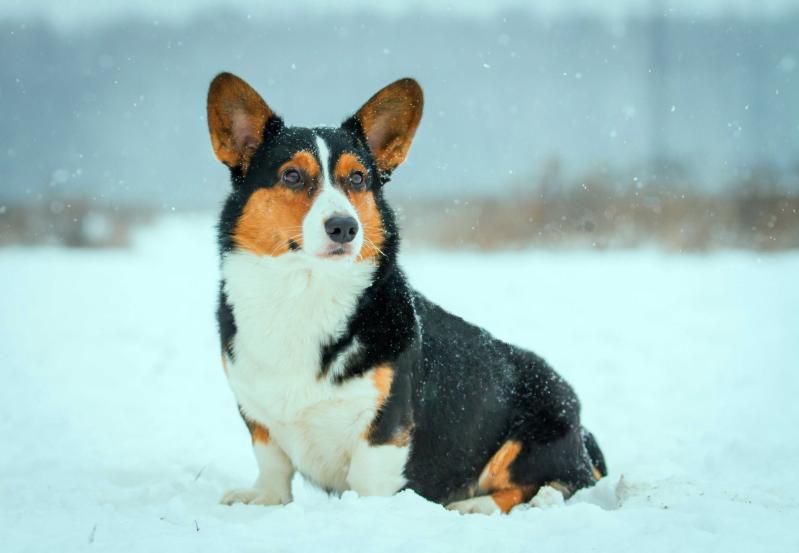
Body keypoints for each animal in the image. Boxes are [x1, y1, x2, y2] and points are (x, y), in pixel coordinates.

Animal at [206, 72, 608, 512]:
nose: (345, 227)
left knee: (558, 484)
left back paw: (478, 504)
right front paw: (263, 499)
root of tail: (582, 427)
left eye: (358, 179)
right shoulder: (256, 413)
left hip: (538, 430)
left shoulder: (386, 423)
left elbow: (367, 480)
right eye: (291, 175)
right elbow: (272, 464)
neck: (306, 292)